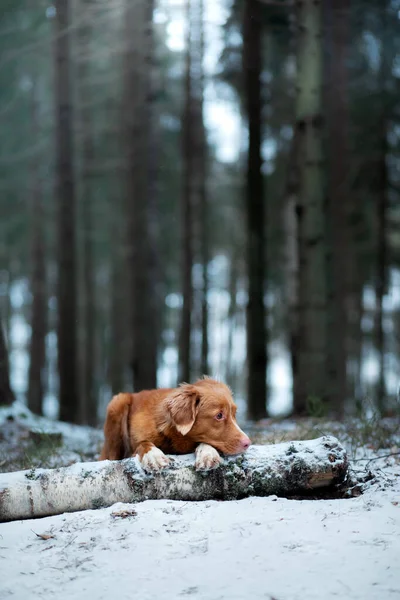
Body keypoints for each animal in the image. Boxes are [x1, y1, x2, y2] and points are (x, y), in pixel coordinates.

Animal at [99, 378, 250, 472]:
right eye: (219, 415)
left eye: (234, 414)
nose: (247, 443)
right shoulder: (131, 451)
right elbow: (143, 443)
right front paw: (154, 456)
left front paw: (208, 454)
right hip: (117, 403)